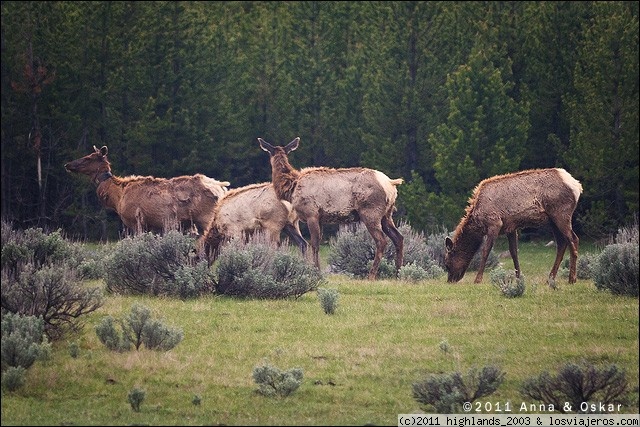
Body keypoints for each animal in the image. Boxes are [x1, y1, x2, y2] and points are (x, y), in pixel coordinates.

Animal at [64, 146, 230, 234]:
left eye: (88, 158)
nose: (67, 164)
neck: (117, 197)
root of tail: (221, 188)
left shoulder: (135, 221)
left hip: (206, 218)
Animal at [258, 135, 402, 280]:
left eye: (269, 152)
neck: (292, 188)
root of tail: (391, 184)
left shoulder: (311, 214)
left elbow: (314, 244)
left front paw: (316, 271)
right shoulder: (320, 218)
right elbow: (317, 243)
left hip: (370, 211)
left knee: (381, 240)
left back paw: (371, 275)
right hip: (387, 214)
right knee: (398, 237)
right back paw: (398, 273)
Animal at [442, 169, 584, 286]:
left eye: (447, 264)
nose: (450, 280)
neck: (478, 221)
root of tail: (577, 186)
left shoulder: (495, 223)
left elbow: (485, 251)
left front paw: (477, 279)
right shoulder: (510, 227)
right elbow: (514, 252)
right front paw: (518, 277)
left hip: (561, 214)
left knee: (574, 239)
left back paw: (572, 278)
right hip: (552, 221)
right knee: (561, 243)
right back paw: (551, 278)